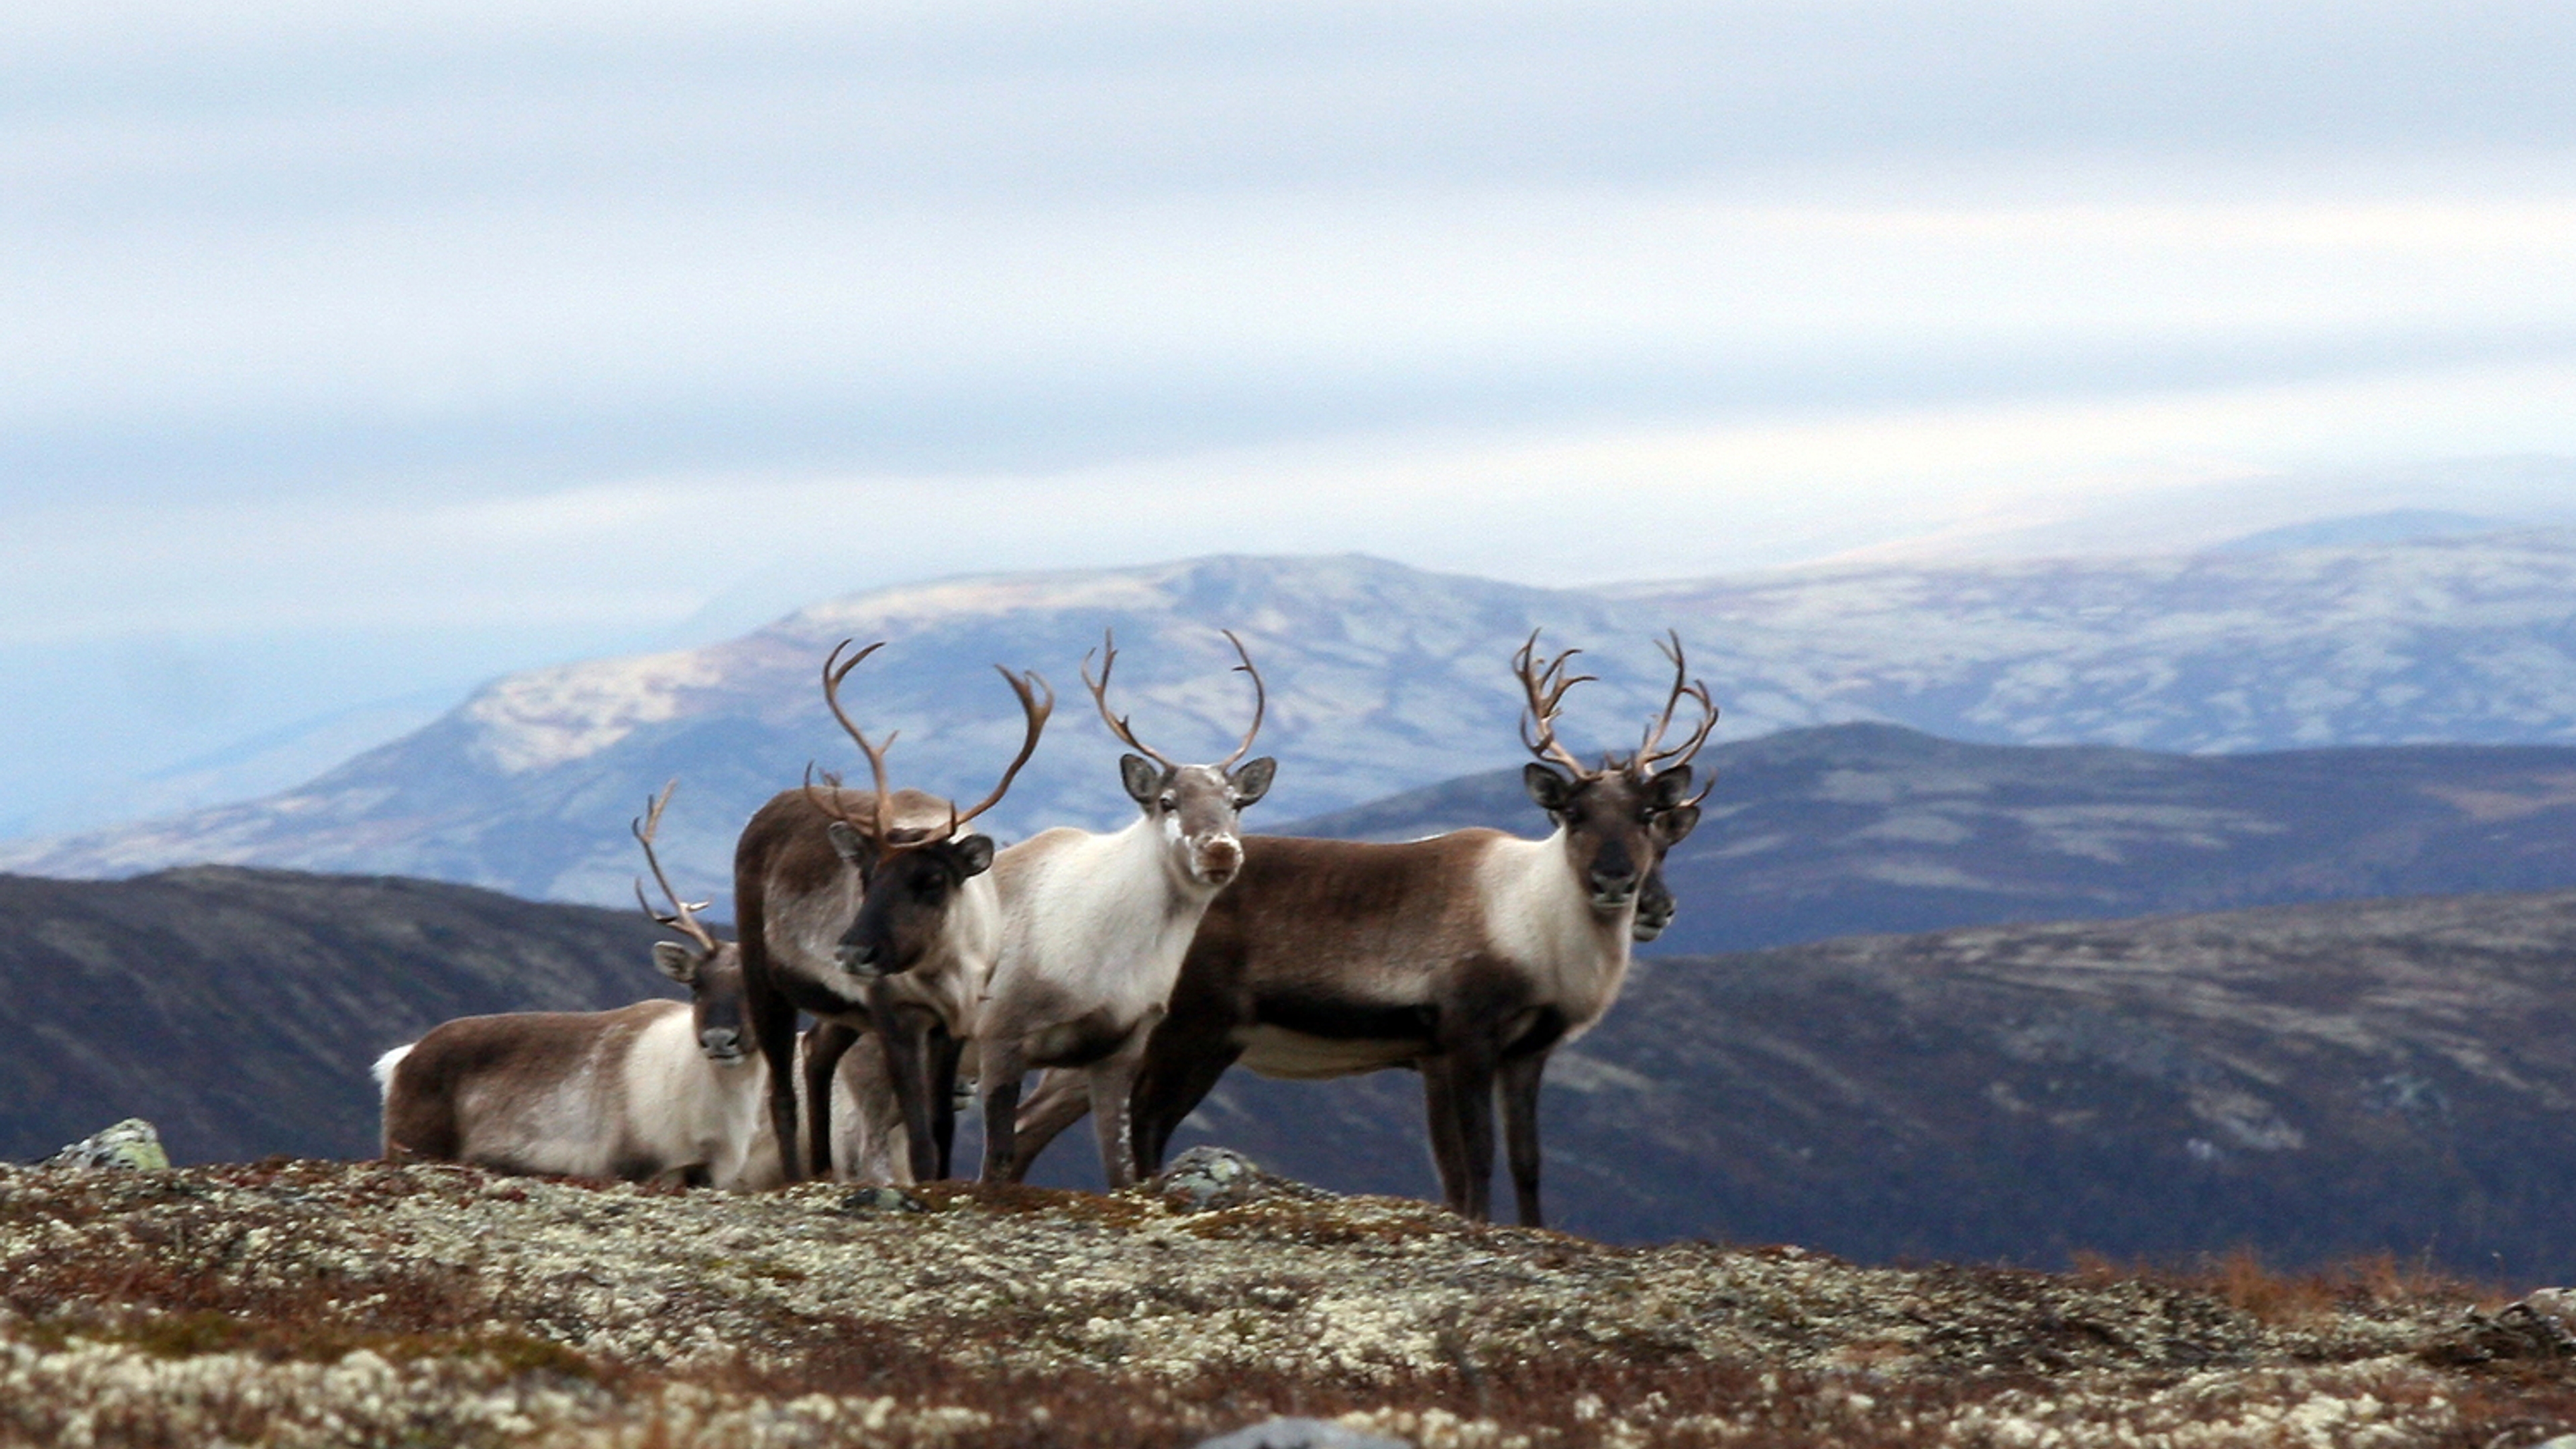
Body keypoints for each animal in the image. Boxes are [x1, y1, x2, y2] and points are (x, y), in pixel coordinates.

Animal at [372, 784, 784, 1189]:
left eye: (758, 987)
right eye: (695, 985)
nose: (718, 1039)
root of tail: (402, 1059)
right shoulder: (631, 1166)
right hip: (410, 1143)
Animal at [733, 639, 1052, 1182]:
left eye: (932, 881)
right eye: (866, 875)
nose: (851, 951)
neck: (944, 969)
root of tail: (763, 812)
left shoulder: (954, 1021)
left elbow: (943, 1124)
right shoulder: (894, 1016)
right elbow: (919, 1133)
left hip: (843, 1007)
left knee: (817, 1051)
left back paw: (822, 1169)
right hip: (764, 975)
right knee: (780, 1092)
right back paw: (797, 1176)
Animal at [1007, 631, 1713, 1226]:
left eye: (1649, 816)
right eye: (1574, 813)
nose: (1618, 882)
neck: (1534, 927)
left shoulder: (1518, 1052)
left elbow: (1522, 1162)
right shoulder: (1466, 1035)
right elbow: (1477, 1157)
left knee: (1045, 1117)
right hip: (1194, 1031)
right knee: (1145, 1119)